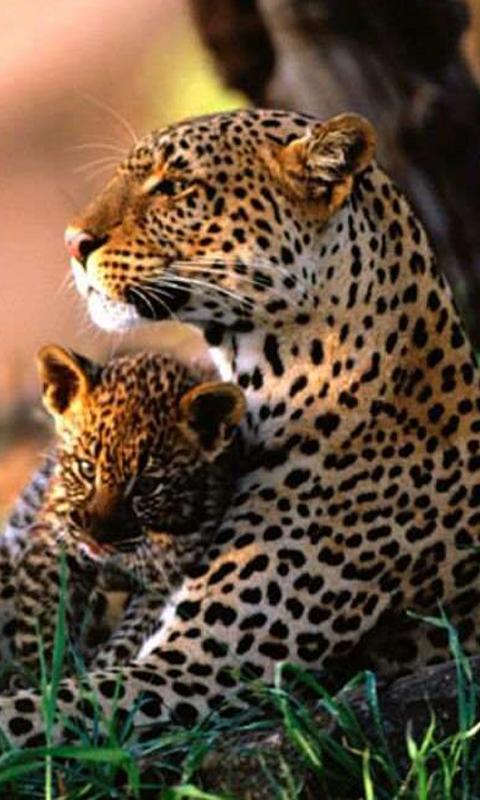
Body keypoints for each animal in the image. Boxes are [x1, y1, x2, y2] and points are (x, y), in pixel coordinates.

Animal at [0, 344, 244, 686]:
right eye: (87, 469)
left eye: (147, 485)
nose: (96, 540)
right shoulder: (56, 540)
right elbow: (46, 615)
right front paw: (45, 677)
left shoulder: (162, 583)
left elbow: (127, 641)